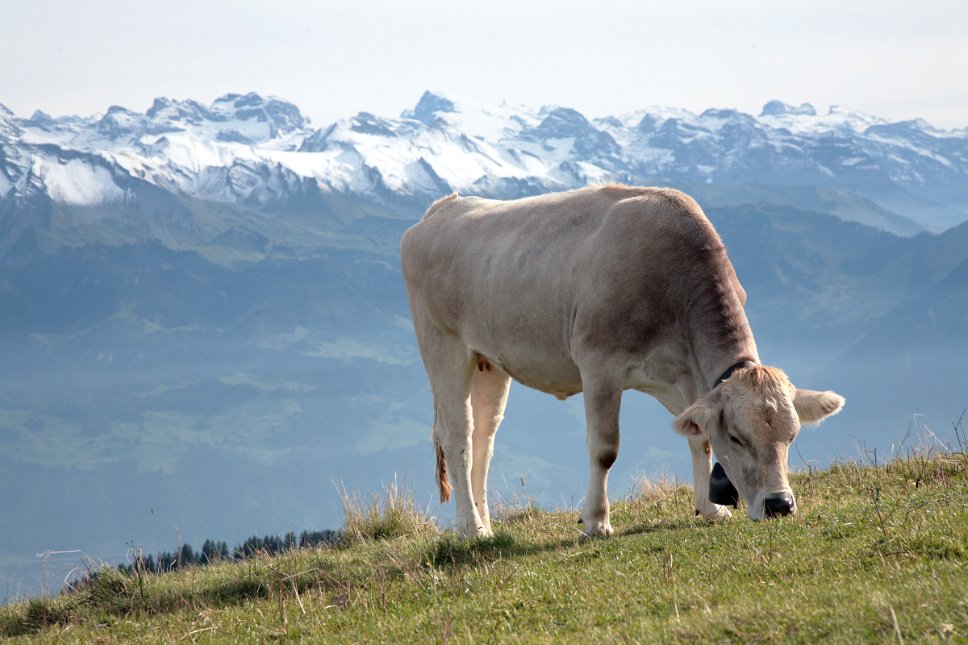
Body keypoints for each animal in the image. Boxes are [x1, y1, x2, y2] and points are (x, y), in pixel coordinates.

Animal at [398, 184, 844, 536]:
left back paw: (485, 525)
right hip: (444, 345)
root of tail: (441, 209)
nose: (779, 505)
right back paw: (471, 529)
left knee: (484, 438)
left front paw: (709, 507)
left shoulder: (684, 376)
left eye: (792, 435)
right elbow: (605, 449)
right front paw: (596, 521)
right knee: (458, 437)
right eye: (737, 437)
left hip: (489, 360)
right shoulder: (598, 365)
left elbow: (698, 437)